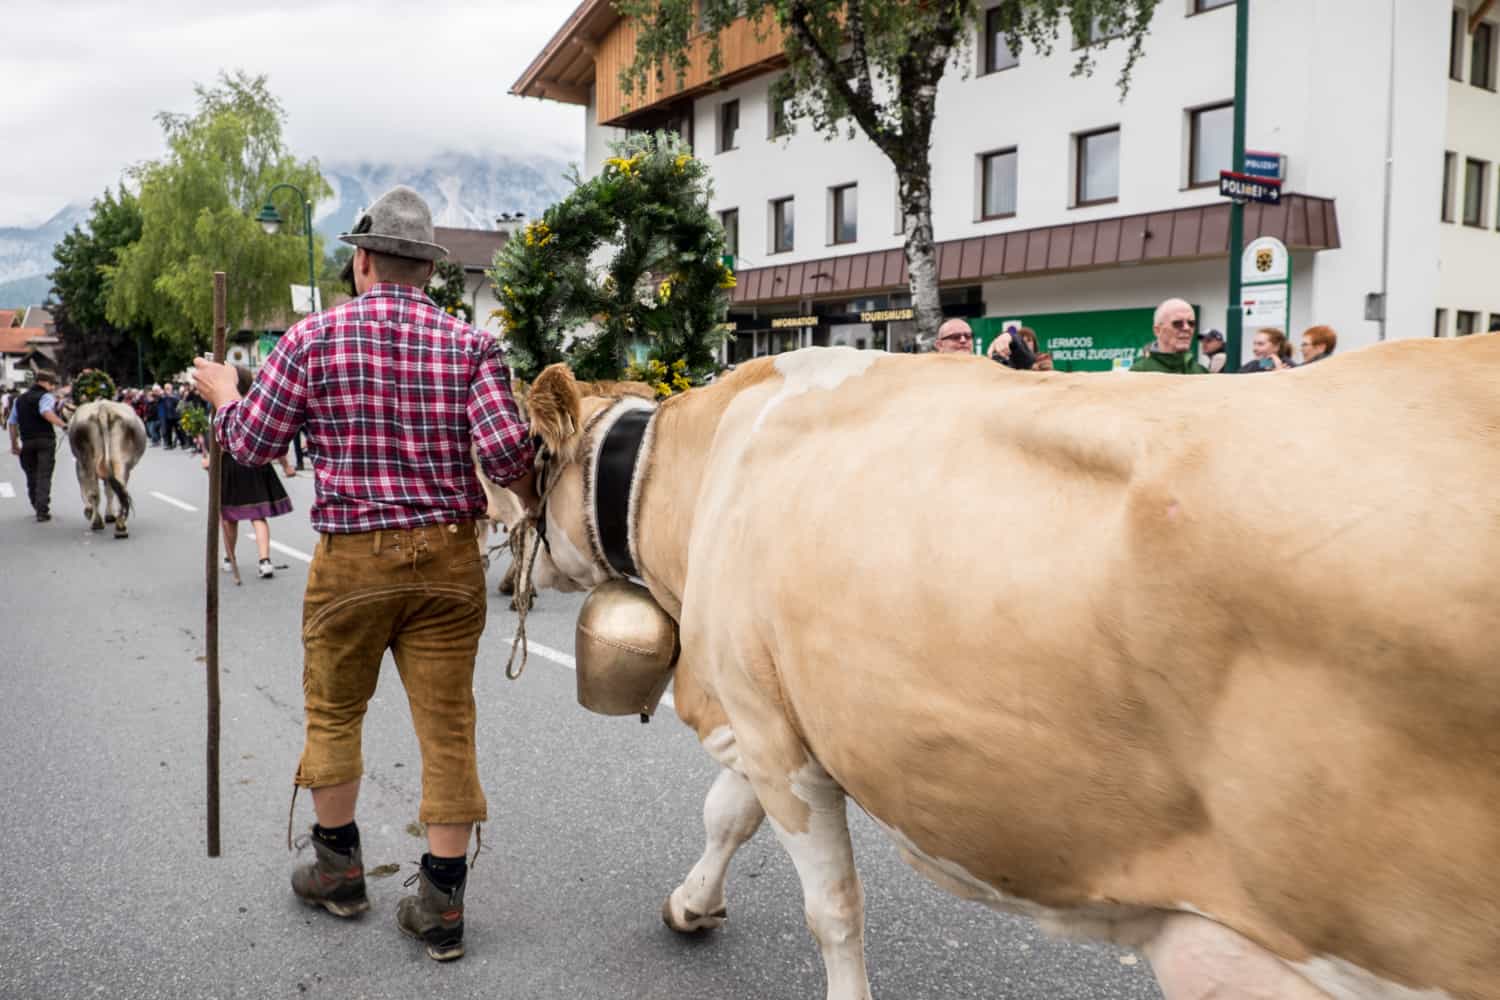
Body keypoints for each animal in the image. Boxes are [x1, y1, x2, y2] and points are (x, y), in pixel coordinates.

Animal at [522, 341, 1500, 1000]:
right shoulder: (767, 709)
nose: (512, 566)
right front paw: (690, 906)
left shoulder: (765, 721)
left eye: (530, 474)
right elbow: (729, 815)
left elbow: (829, 905)